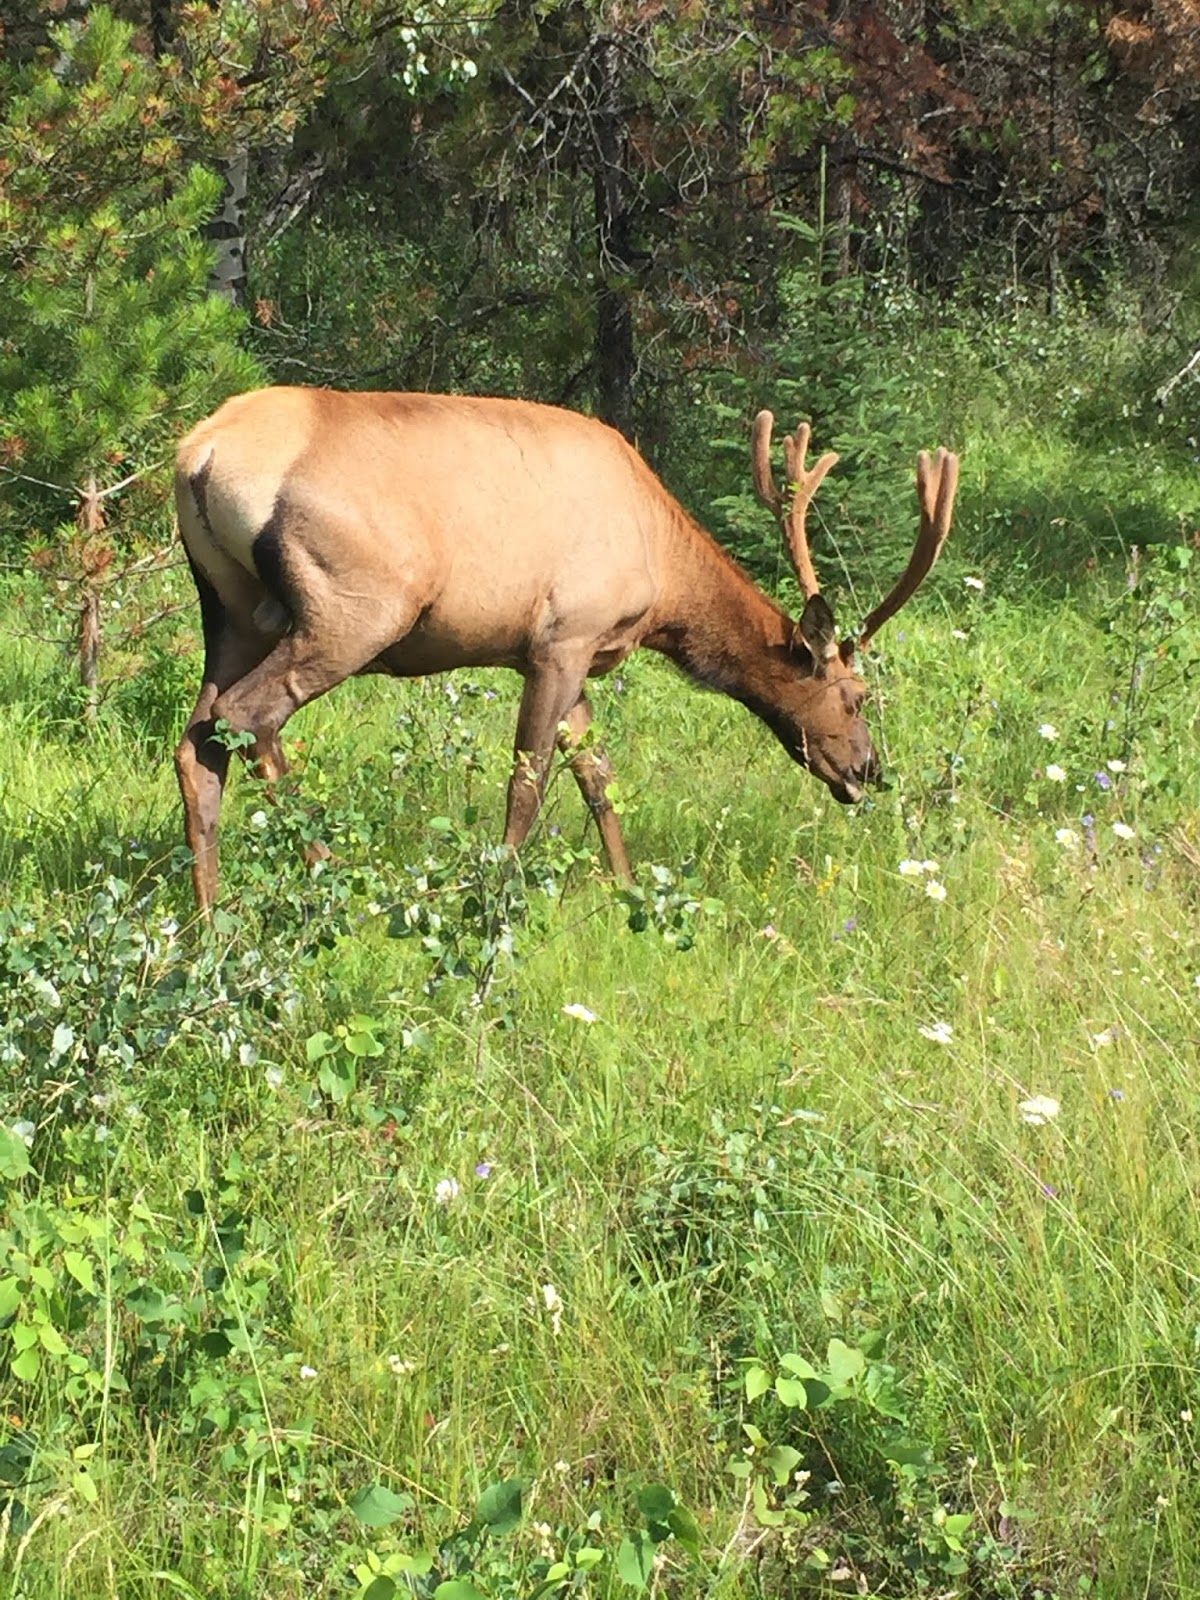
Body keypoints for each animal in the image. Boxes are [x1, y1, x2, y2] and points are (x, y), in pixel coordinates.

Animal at [173, 387, 959, 914]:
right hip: (354, 607)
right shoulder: (562, 636)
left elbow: (597, 776)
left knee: (199, 737)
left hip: (233, 611)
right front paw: (498, 890)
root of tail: (196, 456)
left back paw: (207, 914)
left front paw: (628, 888)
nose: (868, 770)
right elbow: (530, 780)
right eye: (855, 697)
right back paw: (325, 869)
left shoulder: (577, 655)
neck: (664, 584)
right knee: (248, 718)